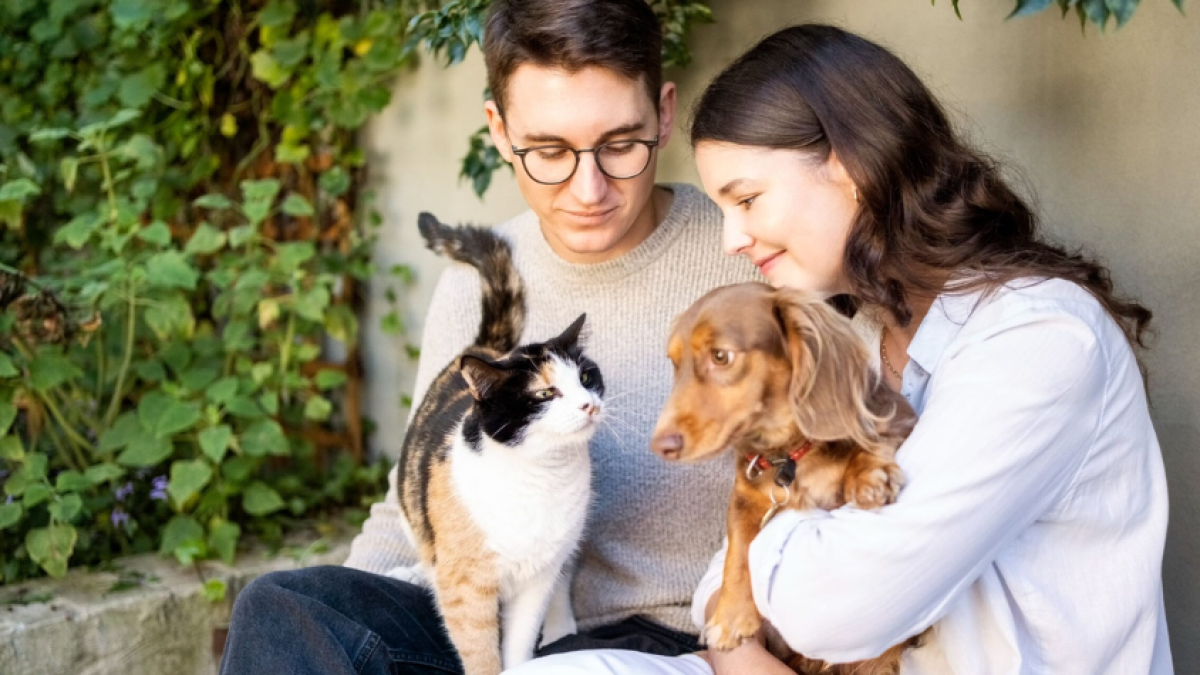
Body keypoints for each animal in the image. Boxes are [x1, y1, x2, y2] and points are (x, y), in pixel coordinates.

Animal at [391, 211, 604, 672]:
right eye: (545, 394)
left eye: (585, 377)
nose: (588, 405)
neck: (542, 476)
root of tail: (483, 349)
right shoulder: (467, 588)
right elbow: (480, 652)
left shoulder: (537, 579)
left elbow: (521, 641)